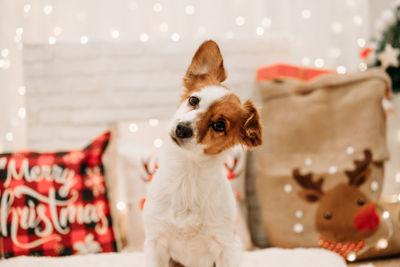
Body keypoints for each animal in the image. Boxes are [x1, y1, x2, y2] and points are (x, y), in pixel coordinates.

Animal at [143, 40, 262, 267]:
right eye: (193, 100)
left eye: (219, 125)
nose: (182, 128)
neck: (187, 176)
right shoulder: (156, 241)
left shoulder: (226, 246)